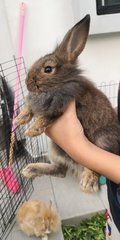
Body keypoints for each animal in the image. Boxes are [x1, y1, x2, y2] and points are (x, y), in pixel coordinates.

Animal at [15, 15, 120, 192]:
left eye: (48, 69)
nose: (27, 83)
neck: (60, 84)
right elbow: (29, 107)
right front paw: (19, 119)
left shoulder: (63, 106)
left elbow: (47, 116)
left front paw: (32, 130)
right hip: (55, 149)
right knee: (60, 170)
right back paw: (30, 169)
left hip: (102, 140)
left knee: (95, 164)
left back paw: (88, 182)